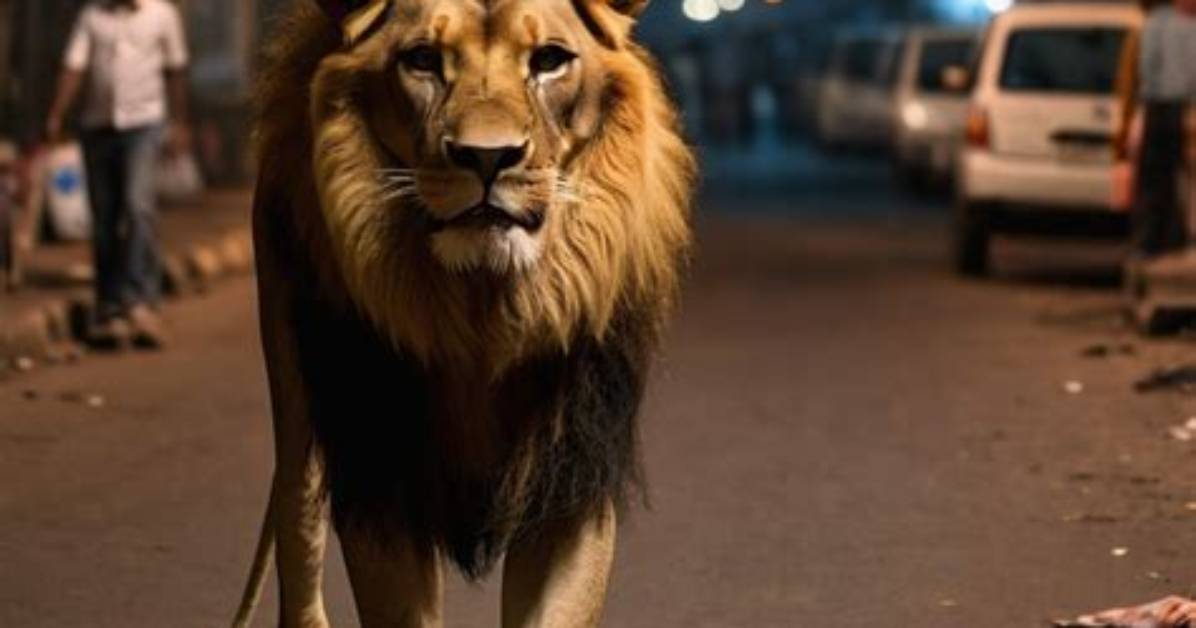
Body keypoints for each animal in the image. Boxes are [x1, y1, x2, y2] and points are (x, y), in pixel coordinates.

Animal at [231, 0, 693, 626]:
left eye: (549, 60)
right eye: (423, 59)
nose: (488, 157)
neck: (485, 311)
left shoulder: (570, 477)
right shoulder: (380, 480)